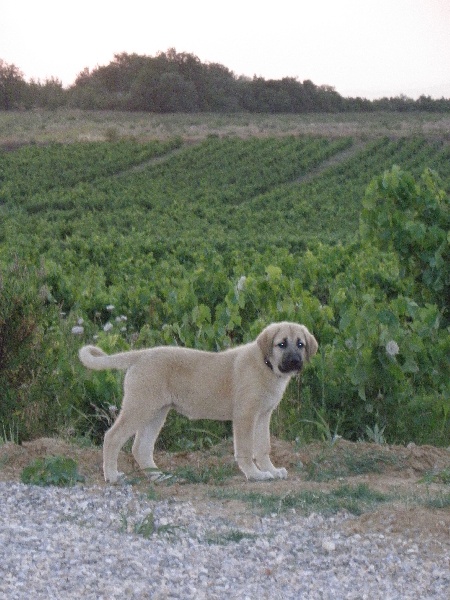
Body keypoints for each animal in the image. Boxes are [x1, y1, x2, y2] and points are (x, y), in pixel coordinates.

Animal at [79, 321, 318, 483]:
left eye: (300, 344)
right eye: (281, 344)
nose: (295, 362)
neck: (265, 365)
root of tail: (140, 355)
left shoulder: (262, 416)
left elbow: (263, 447)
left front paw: (272, 470)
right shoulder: (246, 416)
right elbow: (246, 449)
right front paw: (254, 474)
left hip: (156, 413)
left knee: (141, 448)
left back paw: (159, 477)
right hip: (140, 407)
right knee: (113, 437)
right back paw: (112, 475)